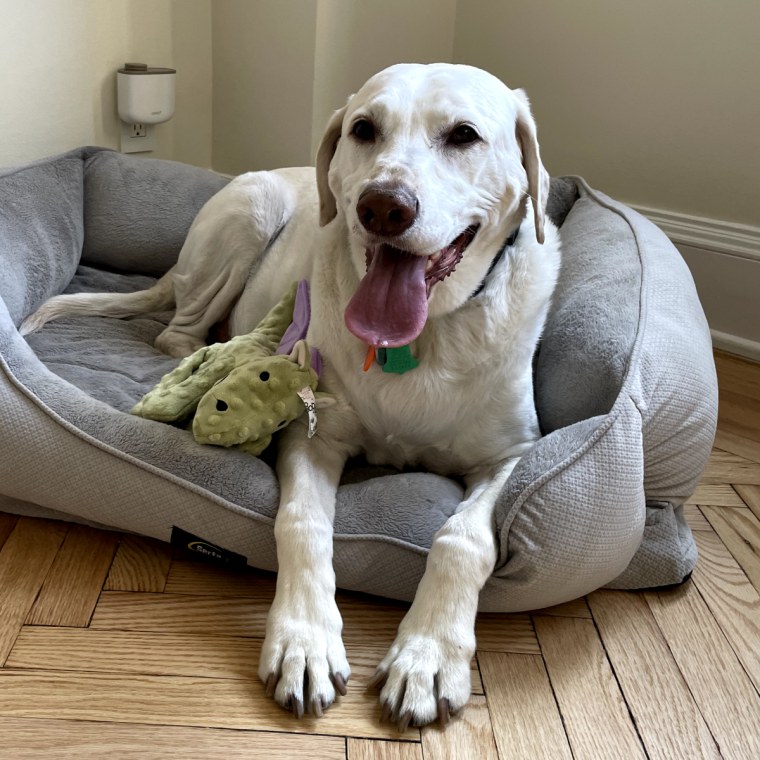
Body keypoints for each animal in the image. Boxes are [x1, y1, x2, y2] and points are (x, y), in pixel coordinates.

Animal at [22, 62, 560, 728]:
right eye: (364, 128)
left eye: (464, 134)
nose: (382, 207)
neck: (419, 337)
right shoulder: (316, 434)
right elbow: (303, 522)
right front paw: (304, 641)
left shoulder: (511, 455)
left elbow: (464, 539)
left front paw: (428, 656)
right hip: (249, 214)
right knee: (177, 332)